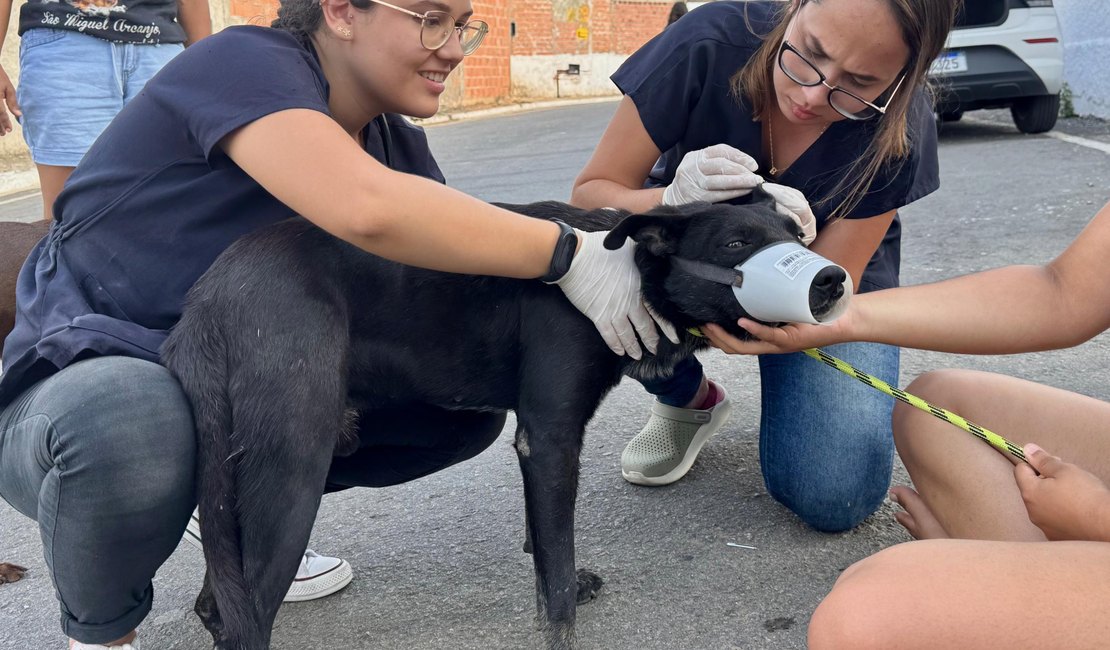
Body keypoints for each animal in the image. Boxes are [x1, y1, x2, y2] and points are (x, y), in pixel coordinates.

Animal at [160, 185, 843, 643]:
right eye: (736, 244)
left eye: (797, 235)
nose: (831, 280)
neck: (626, 266)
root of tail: (208, 298)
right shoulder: (551, 436)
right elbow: (556, 574)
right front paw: (562, 623)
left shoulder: (538, 443)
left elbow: (546, 543)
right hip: (292, 469)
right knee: (243, 611)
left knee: (218, 599)